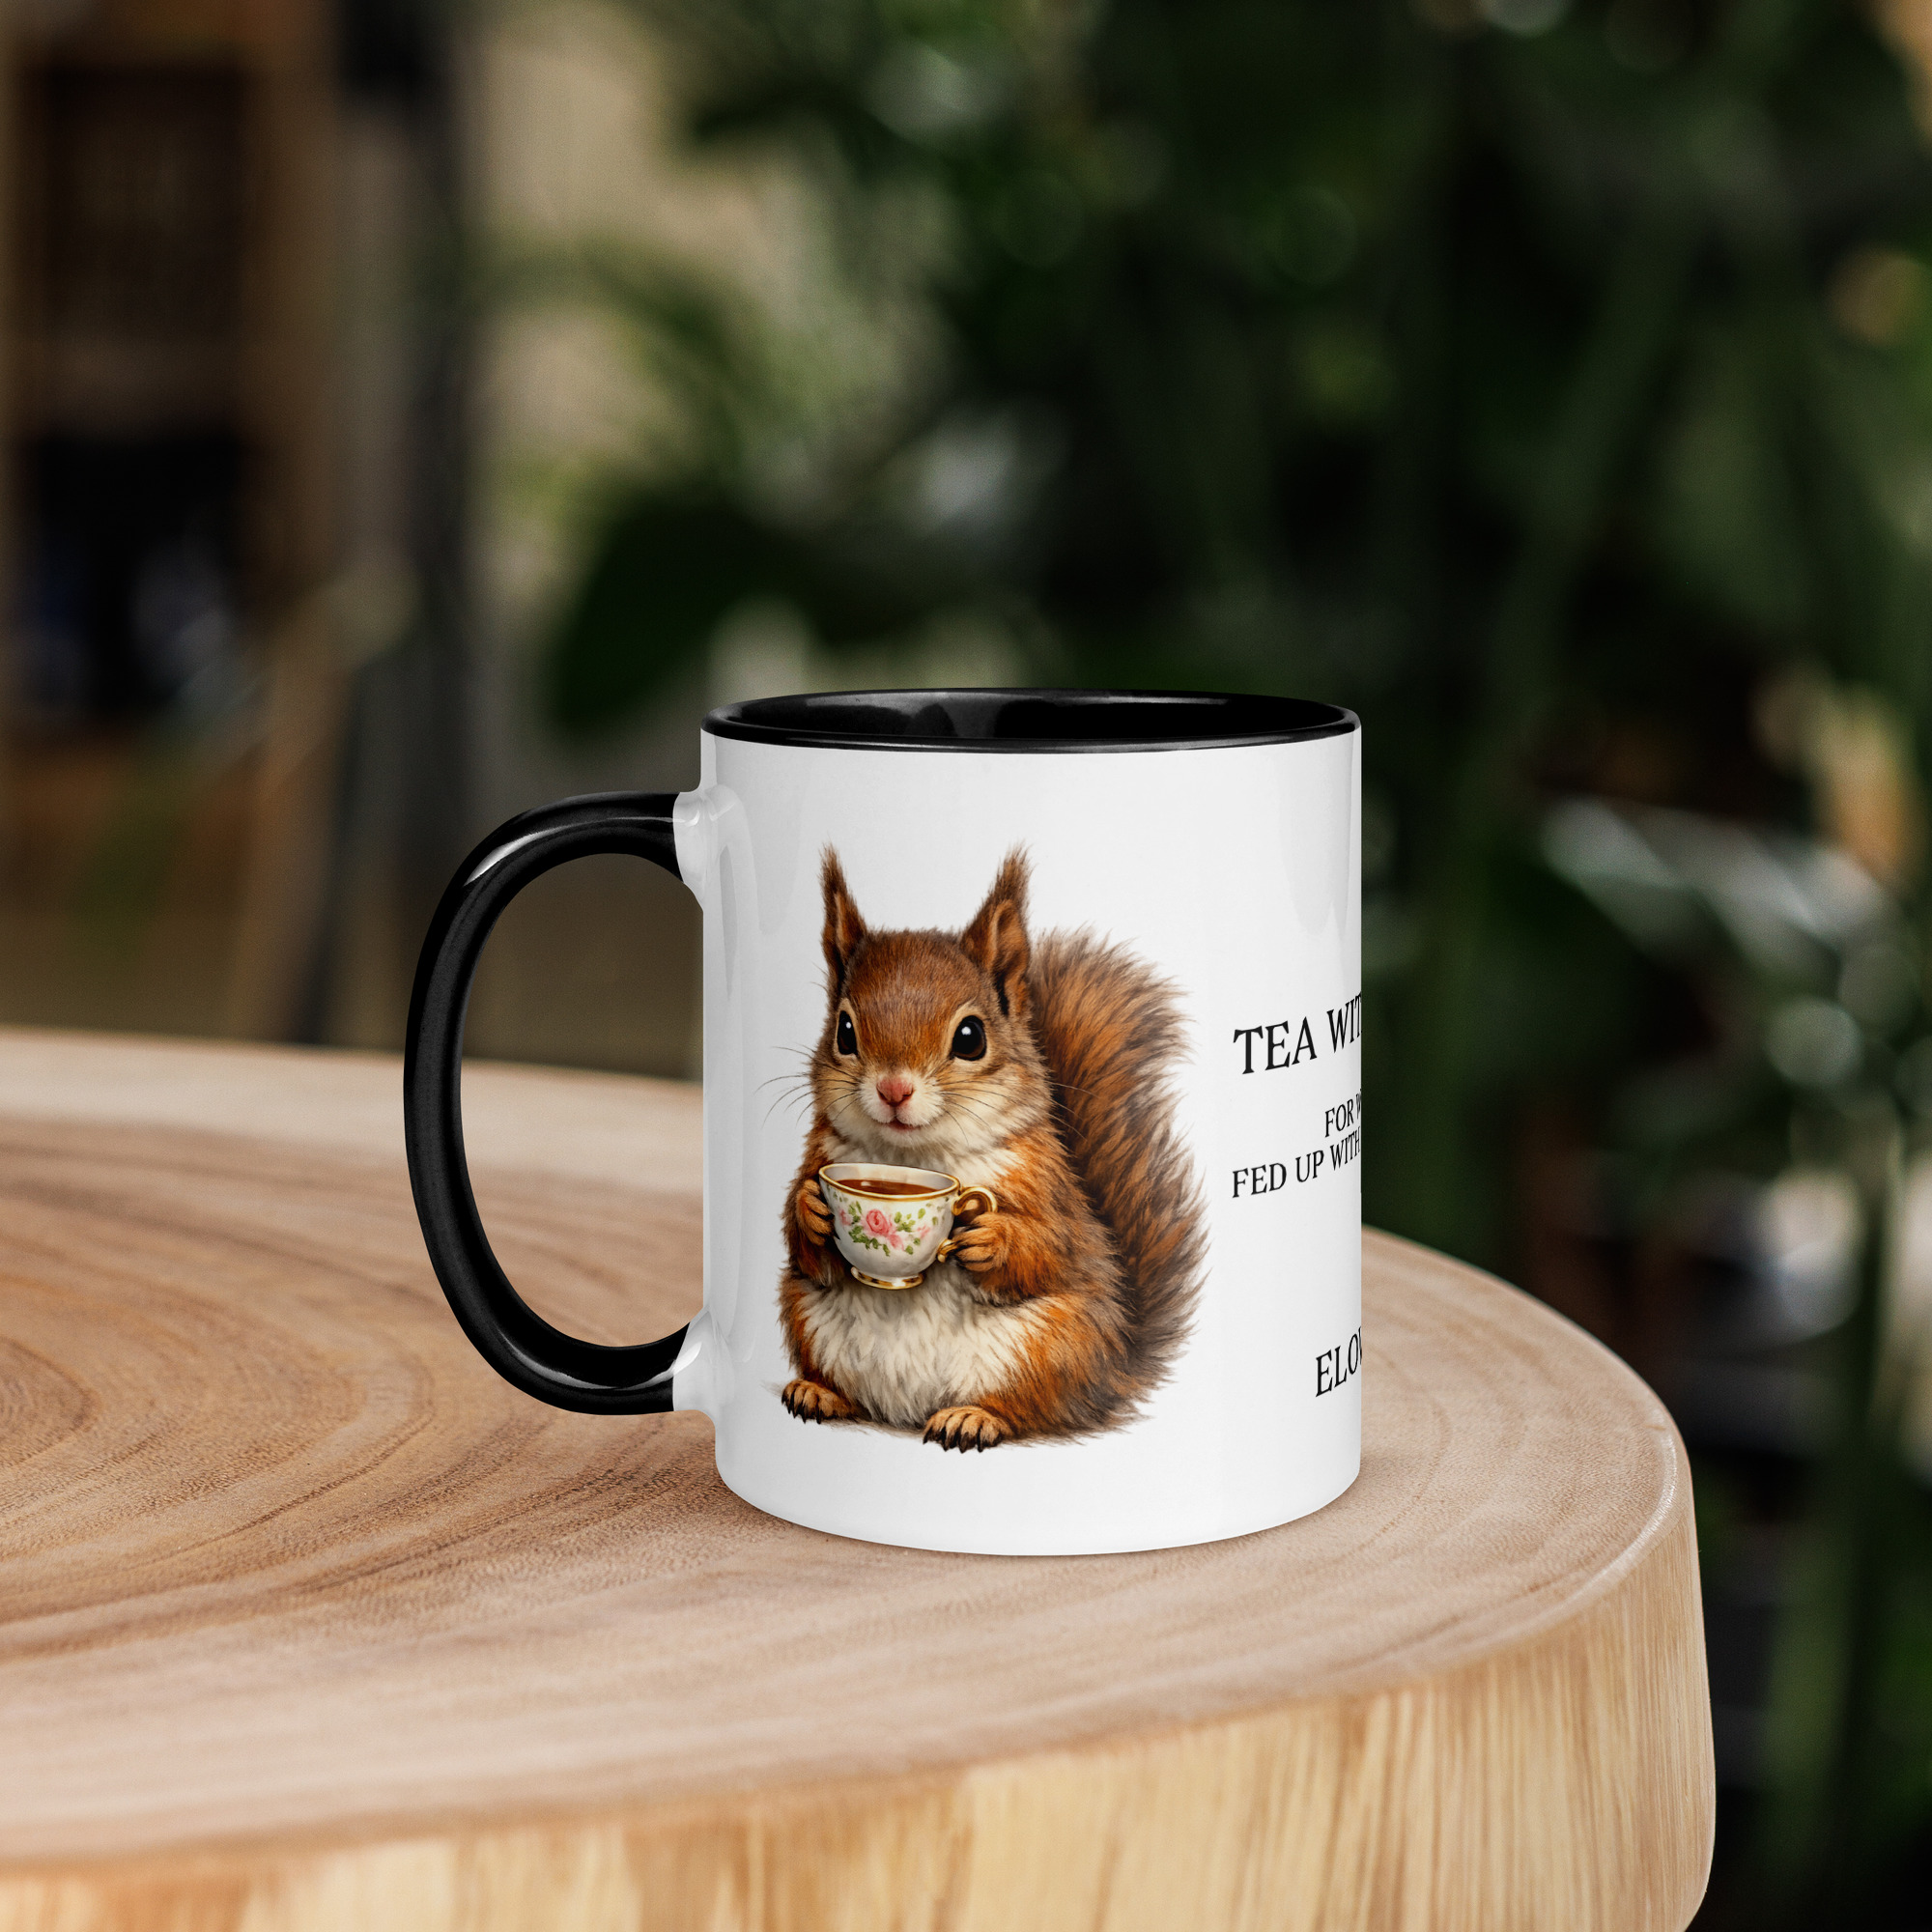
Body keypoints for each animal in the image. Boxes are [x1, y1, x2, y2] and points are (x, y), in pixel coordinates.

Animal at [779, 847, 1202, 1451]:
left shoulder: (1046, 1186)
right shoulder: (823, 1156)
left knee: (1035, 1409)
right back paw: (821, 1393)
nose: (893, 1090)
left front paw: (991, 1239)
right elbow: (808, 1251)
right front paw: (811, 1212)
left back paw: (973, 1417)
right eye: (844, 1030)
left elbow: (1050, 1247)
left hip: (1048, 1346)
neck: (911, 1159)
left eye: (970, 1037)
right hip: (807, 1317)